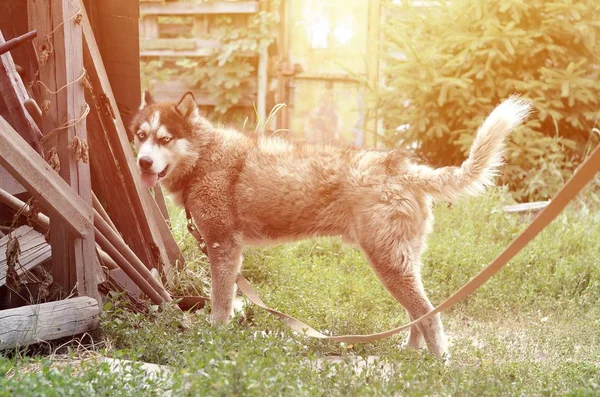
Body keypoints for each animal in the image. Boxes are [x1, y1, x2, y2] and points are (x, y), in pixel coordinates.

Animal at [130, 91, 528, 358]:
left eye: (165, 138)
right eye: (140, 136)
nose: (143, 163)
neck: (205, 157)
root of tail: (402, 168)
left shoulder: (222, 247)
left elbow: (220, 303)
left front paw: (214, 335)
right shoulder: (226, 249)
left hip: (389, 264)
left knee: (428, 316)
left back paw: (434, 364)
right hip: (403, 263)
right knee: (418, 314)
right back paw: (410, 356)